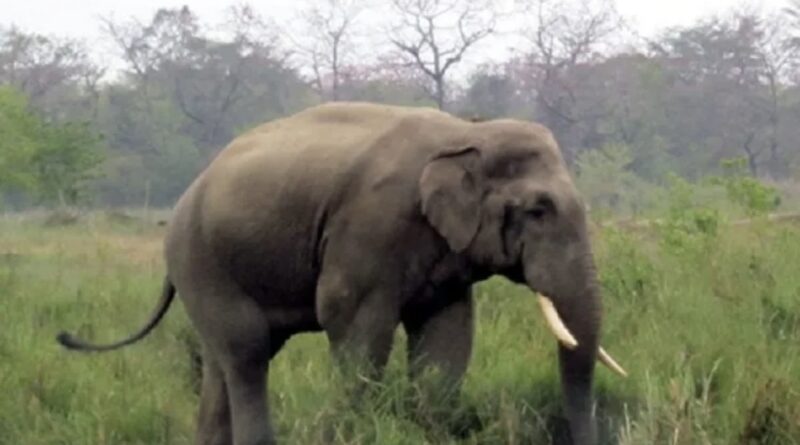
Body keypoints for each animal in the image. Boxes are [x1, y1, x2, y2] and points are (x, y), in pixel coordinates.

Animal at [57, 102, 626, 445]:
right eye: (539, 211)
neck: (467, 130)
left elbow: (445, 338)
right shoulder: (370, 225)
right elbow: (353, 323)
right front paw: (353, 431)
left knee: (222, 362)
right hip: (203, 260)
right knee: (247, 351)